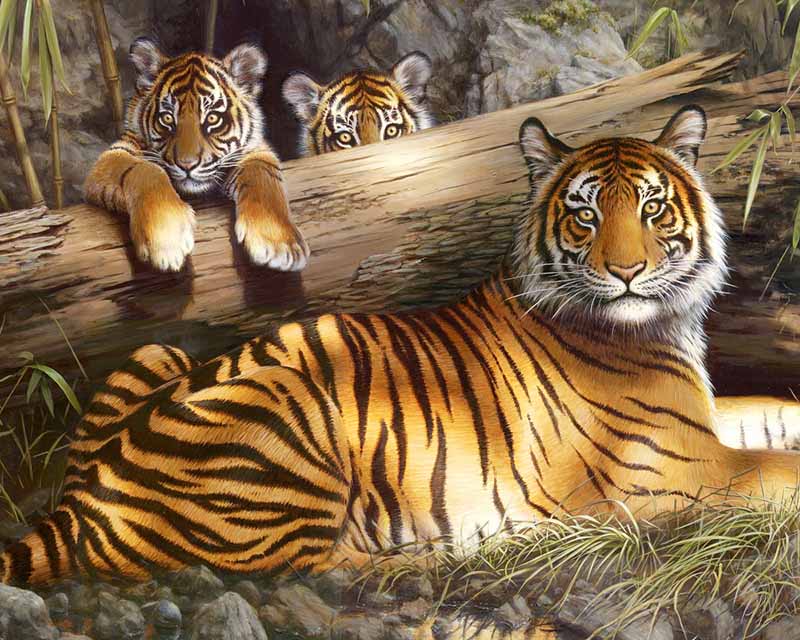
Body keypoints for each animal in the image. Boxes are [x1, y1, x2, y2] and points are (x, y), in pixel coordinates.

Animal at [4, 106, 800, 586]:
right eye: (584, 216)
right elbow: (776, 472)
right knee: (307, 567)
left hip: (158, 356)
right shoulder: (676, 468)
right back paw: (456, 551)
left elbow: (772, 411)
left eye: (652, 208)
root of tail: (83, 499)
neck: (663, 323)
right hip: (294, 407)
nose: (628, 270)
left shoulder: (702, 419)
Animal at [84, 37, 309, 273]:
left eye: (212, 118)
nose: (187, 165)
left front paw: (279, 244)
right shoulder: (115, 153)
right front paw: (166, 238)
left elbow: (263, 178)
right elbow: (146, 170)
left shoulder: (255, 151)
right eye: (167, 118)